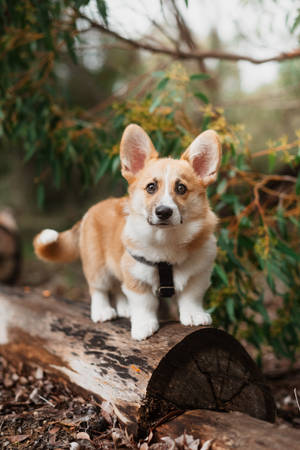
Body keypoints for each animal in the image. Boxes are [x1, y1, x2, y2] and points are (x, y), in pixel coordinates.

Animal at [34, 125, 221, 340]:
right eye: (151, 187)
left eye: (181, 188)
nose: (163, 212)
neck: (166, 240)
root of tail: (92, 210)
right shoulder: (136, 276)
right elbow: (144, 304)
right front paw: (143, 326)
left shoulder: (198, 274)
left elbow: (191, 297)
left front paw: (194, 315)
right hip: (97, 266)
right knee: (98, 289)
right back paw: (102, 311)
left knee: (117, 287)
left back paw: (124, 308)